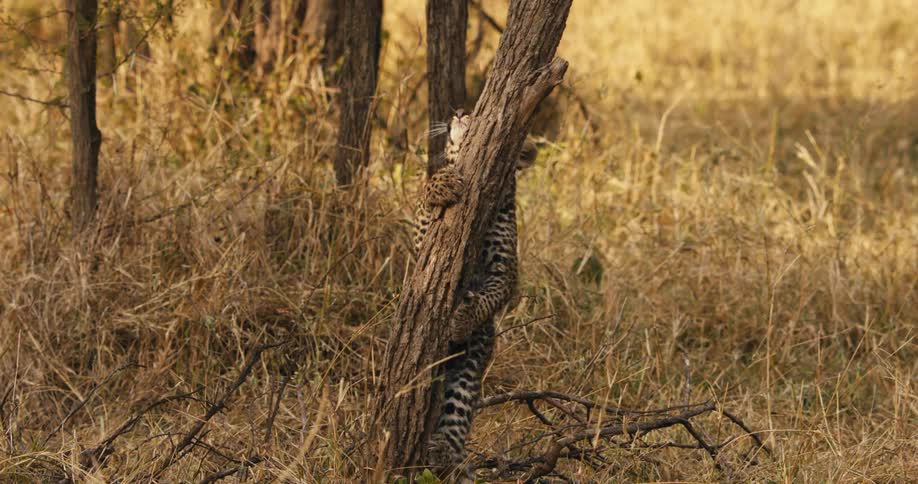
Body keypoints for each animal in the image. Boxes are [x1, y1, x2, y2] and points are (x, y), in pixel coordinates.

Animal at [413, 111, 536, 480]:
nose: (459, 113)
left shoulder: (505, 271)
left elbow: (490, 297)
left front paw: (462, 318)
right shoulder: (421, 244)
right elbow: (424, 198)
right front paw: (441, 183)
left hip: (471, 363)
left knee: (457, 409)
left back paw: (444, 453)